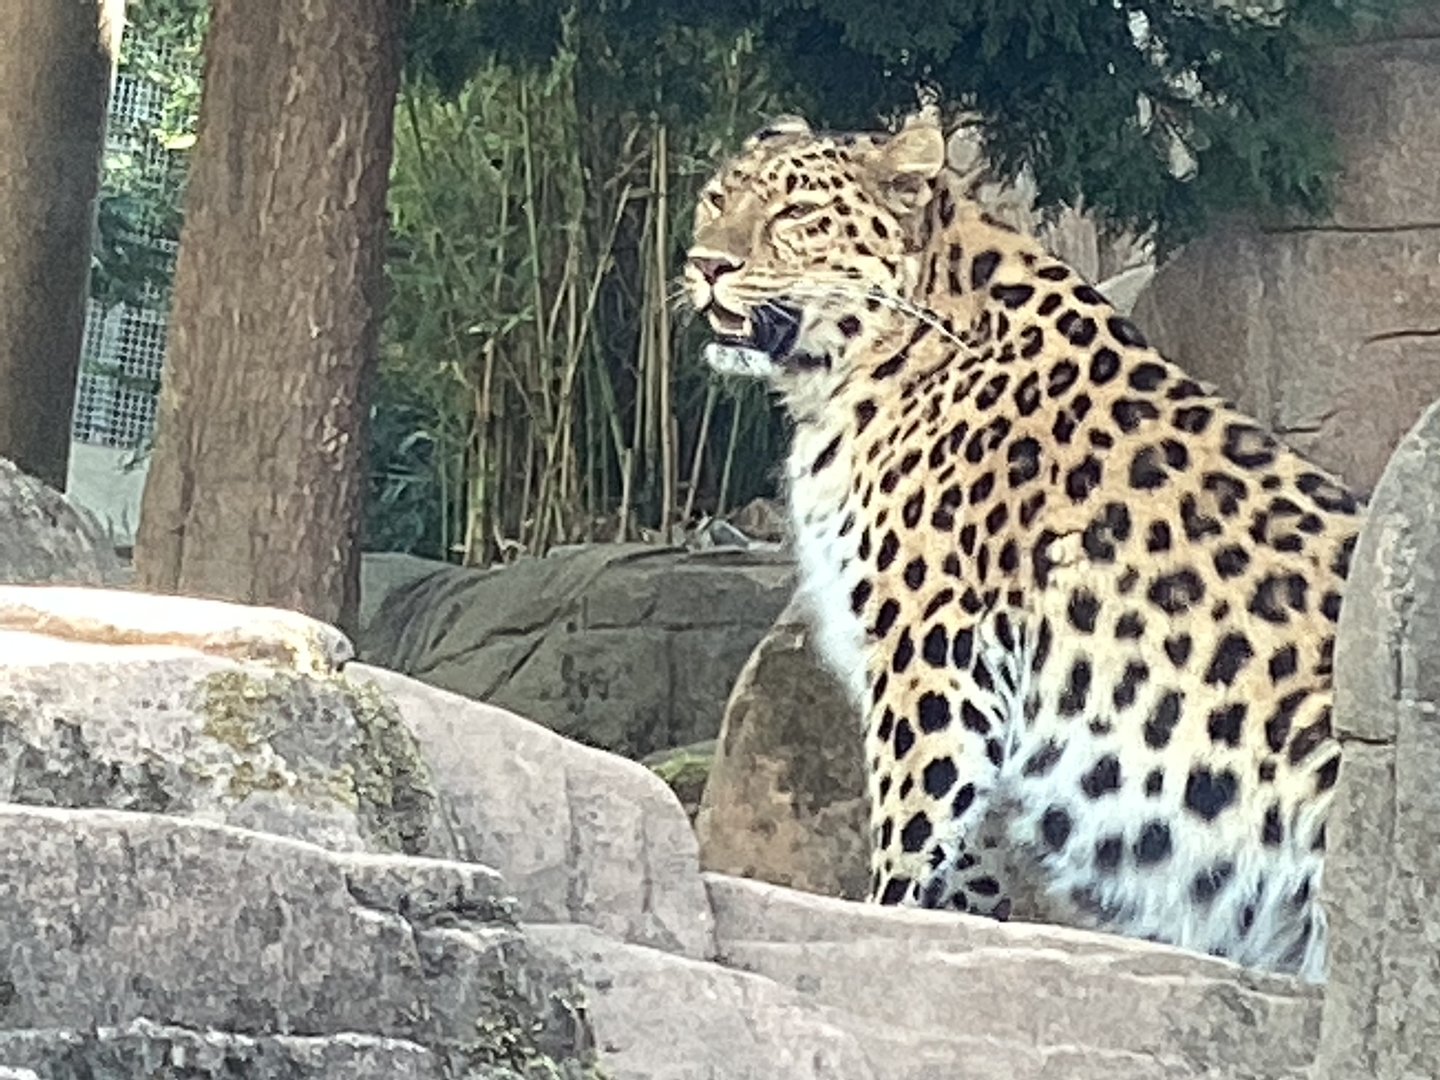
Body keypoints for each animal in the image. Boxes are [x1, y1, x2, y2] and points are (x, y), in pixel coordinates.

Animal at [682, 107, 1364, 983]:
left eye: (796, 214)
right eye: (716, 199)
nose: (707, 264)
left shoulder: (932, 652)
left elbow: (910, 825)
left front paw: (881, 922)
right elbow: (963, 855)